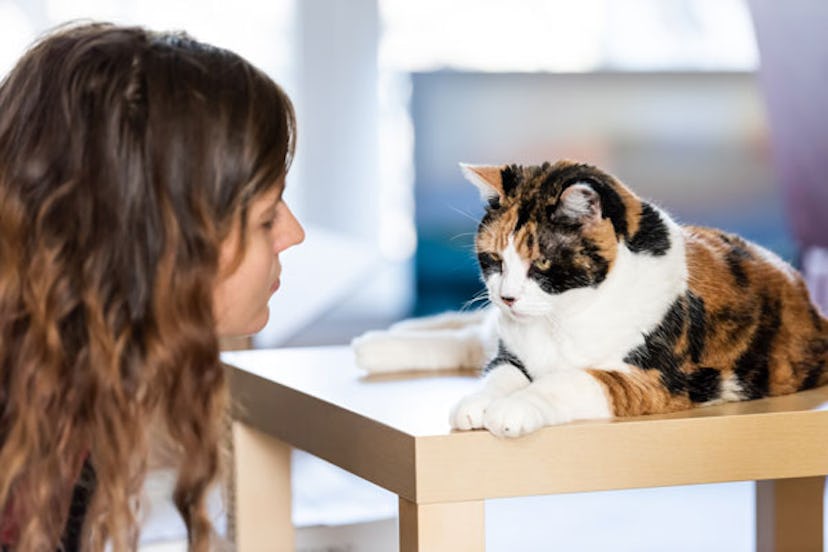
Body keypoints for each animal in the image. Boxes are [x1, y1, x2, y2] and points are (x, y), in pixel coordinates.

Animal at [352, 161, 828, 440]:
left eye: (541, 263)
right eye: (494, 260)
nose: (507, 298)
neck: (563, 318)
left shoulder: (655, 379)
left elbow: (568, 380)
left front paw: (515, 409)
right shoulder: (512, 352)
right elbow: (497, 373)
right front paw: (477, 403)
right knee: (468, 338)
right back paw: (377, 344)